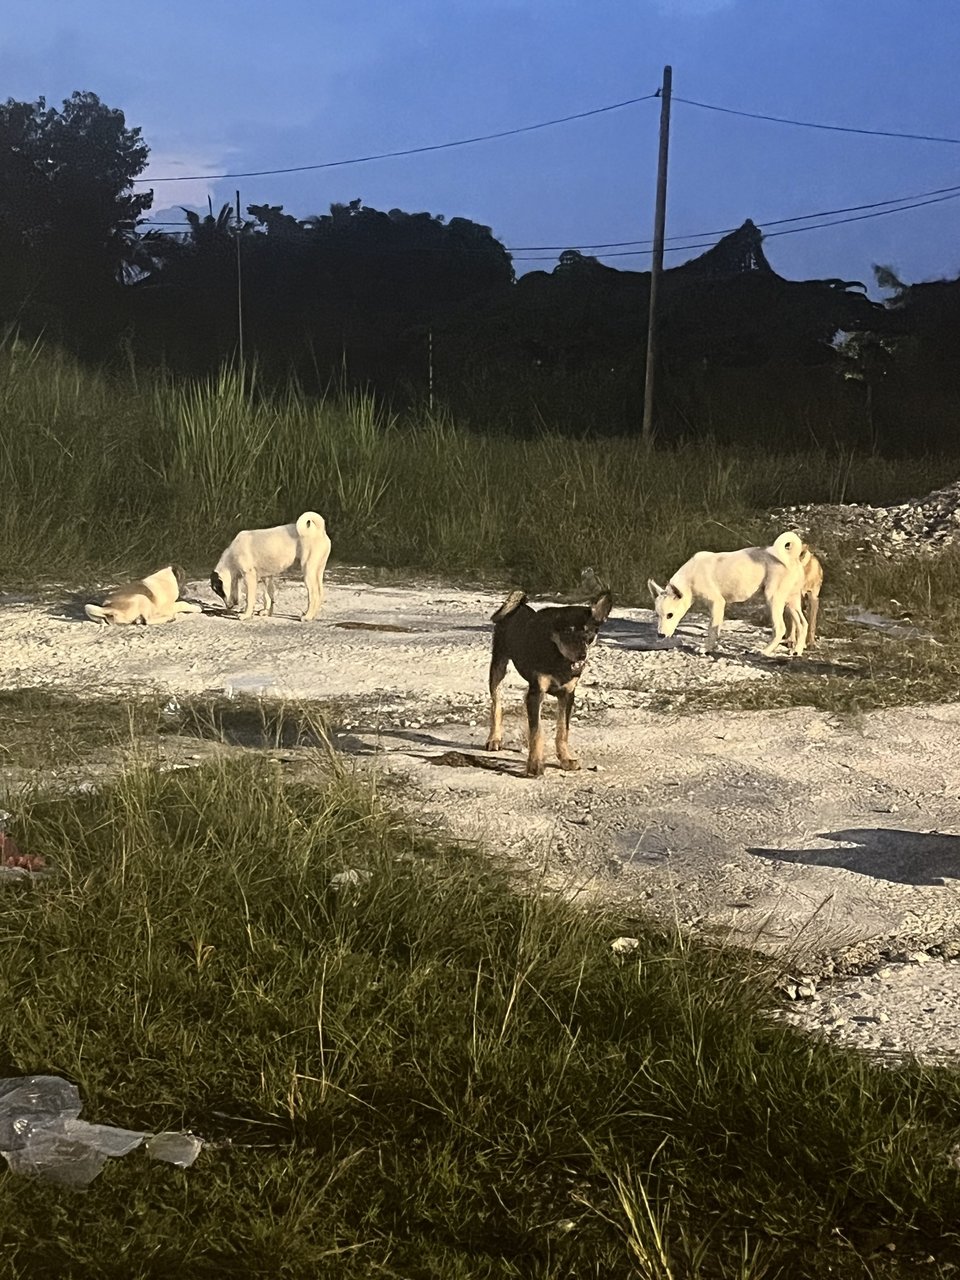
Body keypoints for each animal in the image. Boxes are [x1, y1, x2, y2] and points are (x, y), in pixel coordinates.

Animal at [483, 586, 611, 773]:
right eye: (567, 631)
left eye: (589, 632)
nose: (582, 655)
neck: (558, 658)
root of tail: (519, 607)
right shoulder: (537, 693)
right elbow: (537, 731)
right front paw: (535, 764)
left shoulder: (567, 696)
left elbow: (563, 730)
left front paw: (565, 759)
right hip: (498, 666)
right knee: (496, 703)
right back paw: (494, 738)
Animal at [650, 527, 808, 655]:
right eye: (658, 615)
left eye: (670, 615)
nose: (660, 636)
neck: (690, 575)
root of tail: (790, 557)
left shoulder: (717, 603)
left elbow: (712, 629)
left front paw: (706, 648)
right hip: (791, 602)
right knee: (803, 623)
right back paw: (797, 650)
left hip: (773, 599)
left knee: (780, 628)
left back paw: (763, 651)